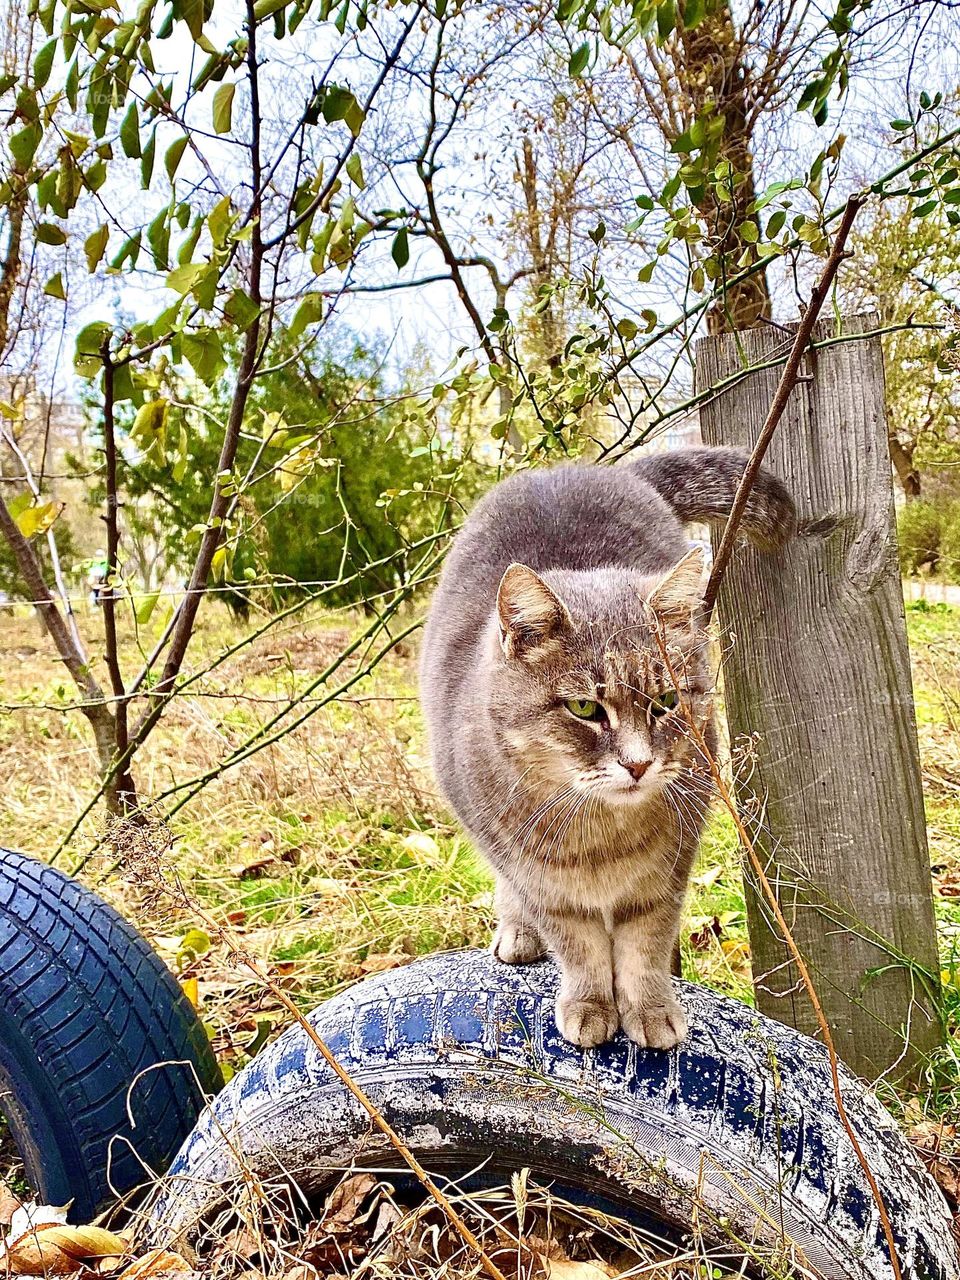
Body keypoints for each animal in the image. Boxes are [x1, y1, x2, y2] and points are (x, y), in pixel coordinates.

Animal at [419, 450, 798, 1049]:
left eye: (666, 700)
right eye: (585, 709)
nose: (639, 763)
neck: (599, 838)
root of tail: (584, 468)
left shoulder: (666, 874)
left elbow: (644, 943)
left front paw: (649, 1008)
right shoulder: (545, 886)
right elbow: (580, 947)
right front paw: (591, 1004)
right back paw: (517, 931)